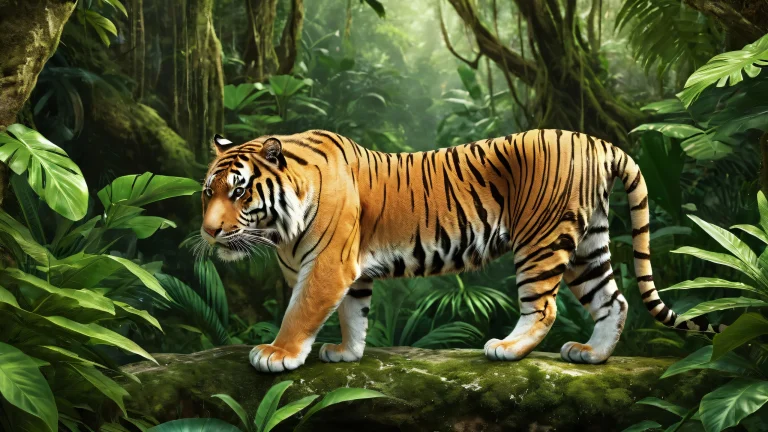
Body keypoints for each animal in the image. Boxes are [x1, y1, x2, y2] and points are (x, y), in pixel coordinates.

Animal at [200, 129, 719, 373]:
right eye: (209, 192)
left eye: (240, 192)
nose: (208, 232)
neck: (279, 228)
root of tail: (596, 140)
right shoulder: (352, 272)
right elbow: (353, 314)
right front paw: (347, 353)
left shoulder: (327, 265)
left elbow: (301, 311)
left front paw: (277, 353)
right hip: (588, 244)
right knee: (615, 299)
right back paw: (592, 355)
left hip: (541, 240)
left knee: (544, 307)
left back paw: (507, 348)